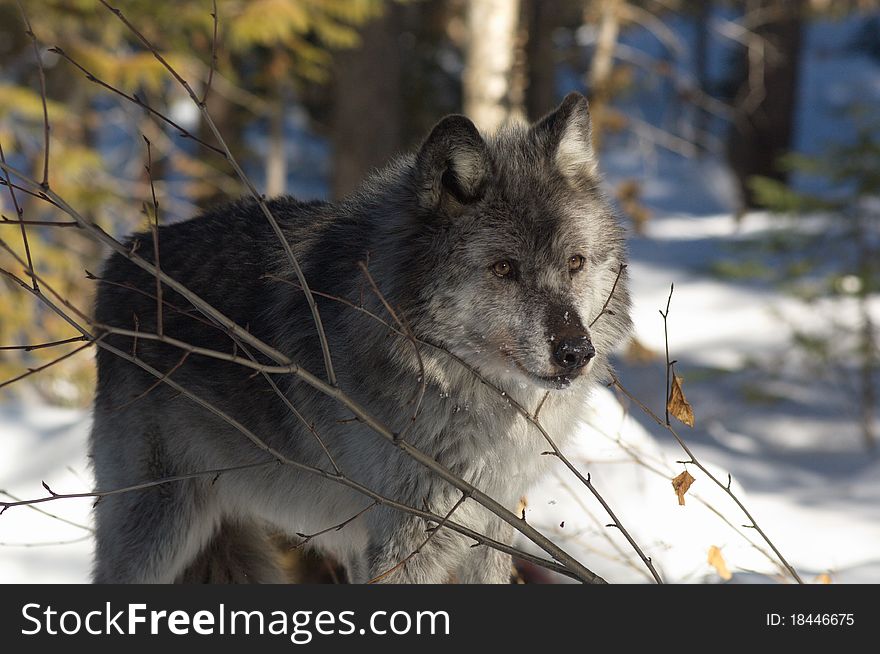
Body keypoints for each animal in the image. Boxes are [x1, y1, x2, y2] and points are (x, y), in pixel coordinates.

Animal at [91, 91, 632, 584]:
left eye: (575, 262)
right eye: (504, 269)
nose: (576, 352)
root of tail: (124, 255)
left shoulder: (489, 532)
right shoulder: (399, 545)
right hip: (157, 532)